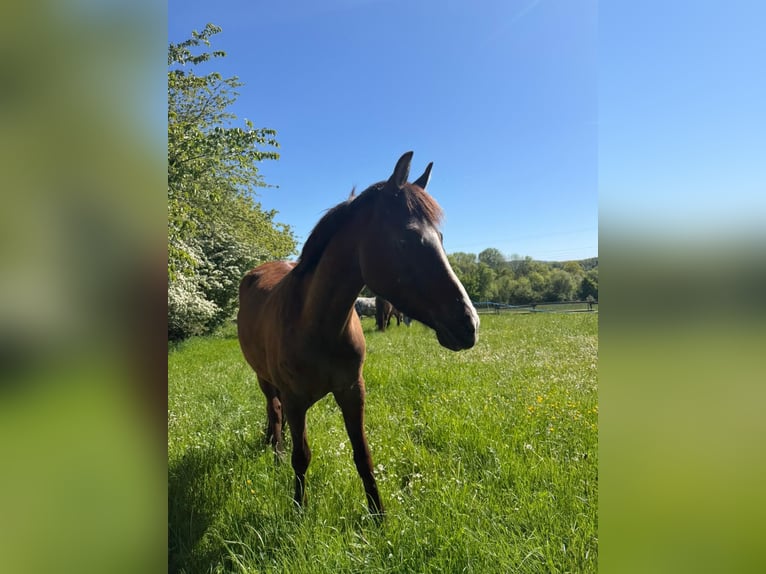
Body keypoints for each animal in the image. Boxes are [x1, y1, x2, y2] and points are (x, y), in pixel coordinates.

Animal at [237, 151, 479, 517]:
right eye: (405, 239)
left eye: (440, 239)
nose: (469, 324)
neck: (315, 324)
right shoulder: (295, 401)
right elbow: (301, 457)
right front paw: (298, 510)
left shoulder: (352, 392)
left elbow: (363, 456)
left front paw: (378, 516)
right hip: (263, 378)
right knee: (273, 410)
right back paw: (275, 449)